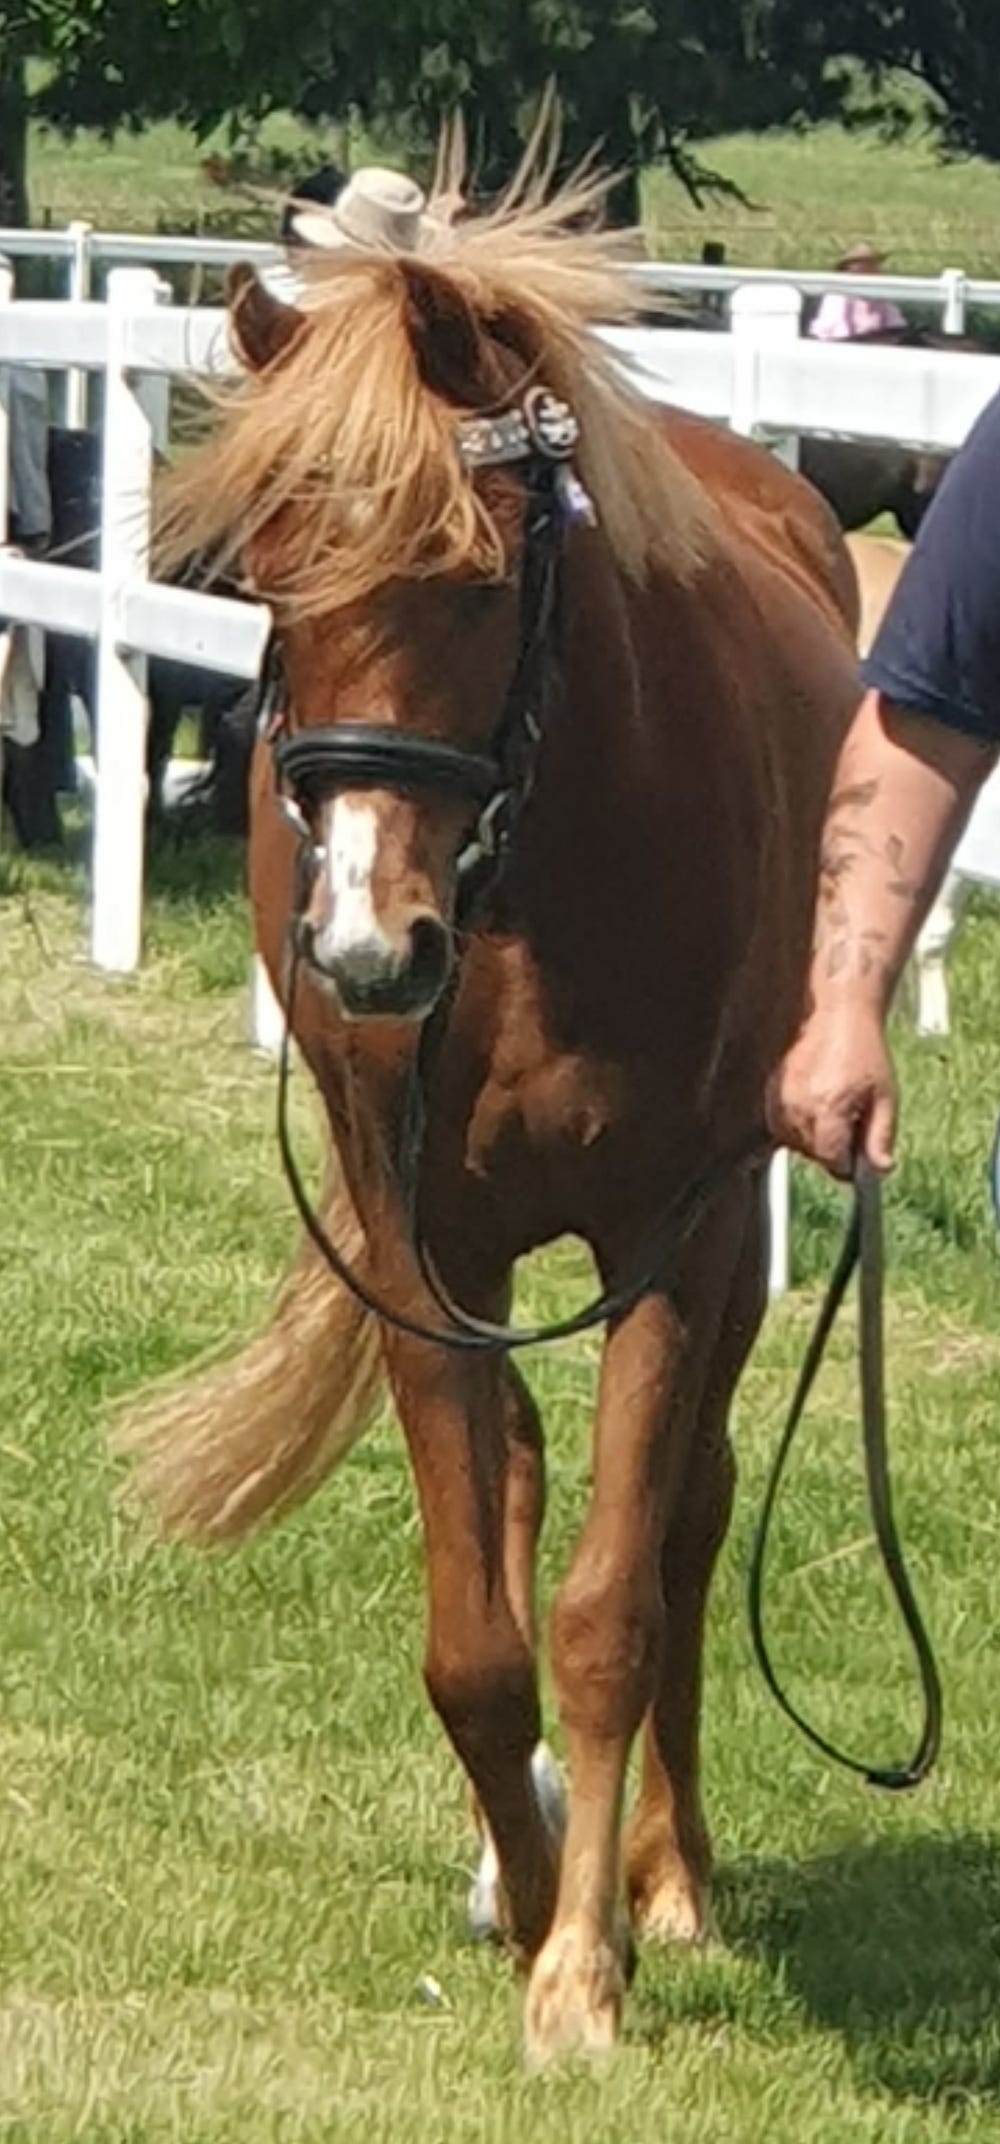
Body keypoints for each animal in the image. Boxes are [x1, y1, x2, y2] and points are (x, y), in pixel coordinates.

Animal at [119, 178, 861, 2062]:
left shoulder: (668, 1232)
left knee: (691, 1514)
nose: (370, 948)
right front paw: (524, 1887)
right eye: (272, 576)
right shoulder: (415, 1244)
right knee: (525, 1468)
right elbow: (475, 1633)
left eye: (469, 579)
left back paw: (669, 1873)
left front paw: (583, 1959)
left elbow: (611, 1607)